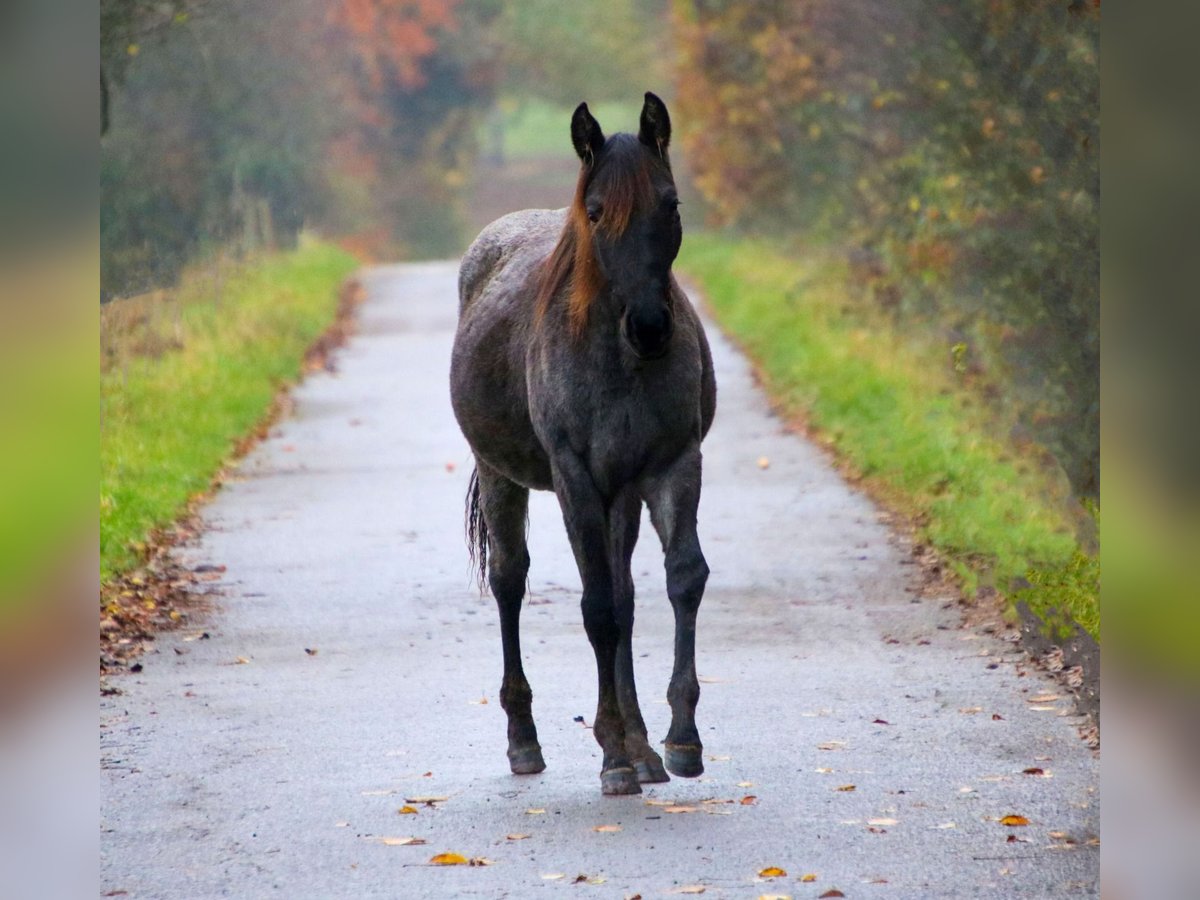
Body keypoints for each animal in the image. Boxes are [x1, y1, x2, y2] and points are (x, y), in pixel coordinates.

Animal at [449, 93, 716, 796]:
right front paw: (613, 757)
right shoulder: (574, 475)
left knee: (624, 595)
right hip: (504, 476)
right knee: (511, 581)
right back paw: (525, 740)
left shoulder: (673, 464)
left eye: (670, 203)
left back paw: (643, 746)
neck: (618, 359)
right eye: (595, 212)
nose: (650, 327)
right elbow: (596, 609)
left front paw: (678, 740)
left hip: (620, 495)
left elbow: (681, 579)